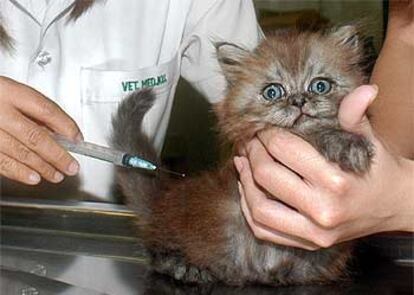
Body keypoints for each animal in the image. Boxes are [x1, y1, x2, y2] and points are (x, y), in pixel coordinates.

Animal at [112, 26, 376, 286]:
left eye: (320, 86)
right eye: (273, 92)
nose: (299, 101)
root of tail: (163, 198)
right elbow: (312, 134)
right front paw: (348, 145)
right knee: (155, 252)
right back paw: (185, 267)